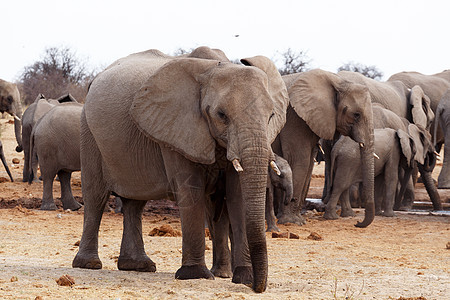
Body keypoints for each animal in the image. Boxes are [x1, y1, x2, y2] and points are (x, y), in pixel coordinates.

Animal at [71, 47, 288, 292]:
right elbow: (191, 189)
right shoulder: (175, 128)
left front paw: (244, 277)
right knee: (96, 197)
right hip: (88, 131)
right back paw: (88, 264)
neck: (214, 68)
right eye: (221, 115)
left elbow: (238, 196)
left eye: (271, 116)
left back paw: (138, 266)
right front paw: (196, 275)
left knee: (135, 204)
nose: (258, 287)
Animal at [272, 69, 374, 227]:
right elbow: (300, 162)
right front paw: (292, 222)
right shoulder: (295, 118)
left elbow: (308, 164)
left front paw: (298, 220)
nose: (357, 223)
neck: (338, 82)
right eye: (356, 115)